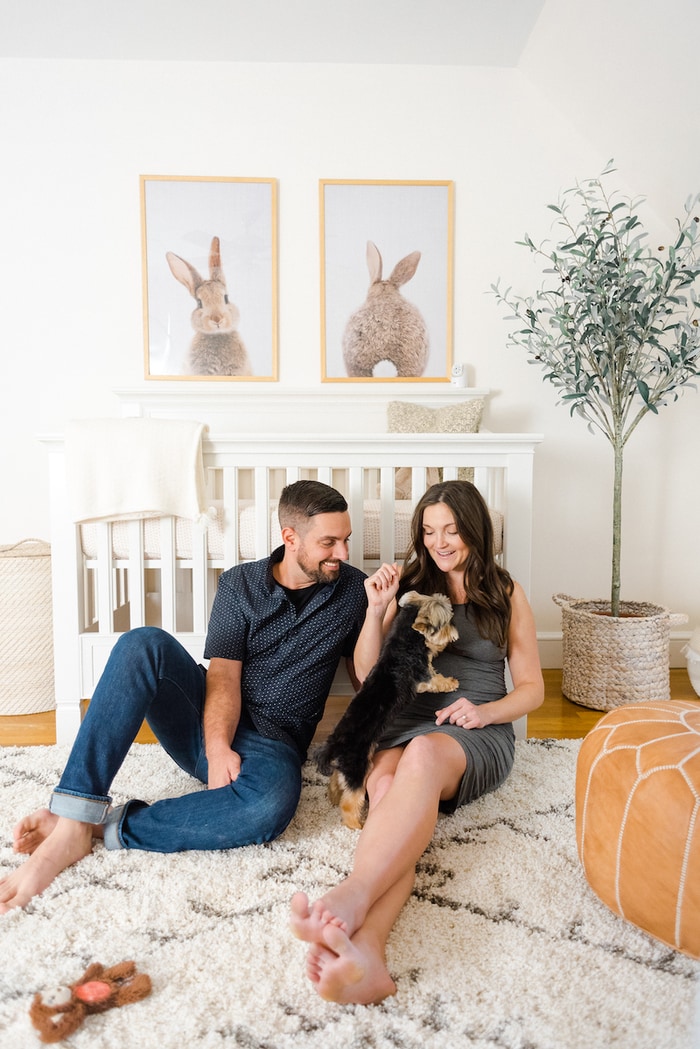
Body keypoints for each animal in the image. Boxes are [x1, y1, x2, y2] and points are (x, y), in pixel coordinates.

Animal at [316, 591, 459, 826]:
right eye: (446, 623)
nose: (455, 630)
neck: (406, 639)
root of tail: (333, 745)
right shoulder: (424, 677)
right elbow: (437, 680)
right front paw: (452, 682)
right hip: (358, 768)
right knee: (350, 802)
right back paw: (356, 824)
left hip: (345, 769)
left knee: (337, 785)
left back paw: (333, 799)